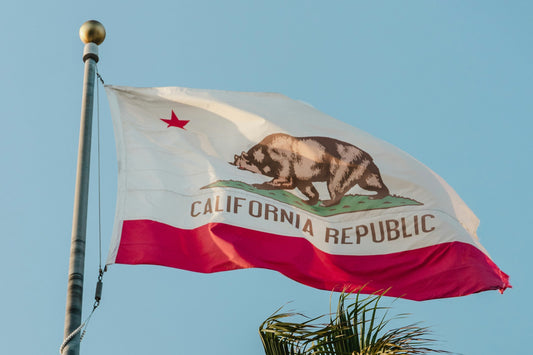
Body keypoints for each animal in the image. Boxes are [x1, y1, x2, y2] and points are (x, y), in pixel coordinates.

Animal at [229, 134, 386, 207]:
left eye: (243, 158)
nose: (234, 159)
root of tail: (367, 157)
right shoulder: (300, 172)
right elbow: (304, 185)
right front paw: (310, 200)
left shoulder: (283, 159)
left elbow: (284, 178)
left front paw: (261, 184)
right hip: (365, 170)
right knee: (371, 183)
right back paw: (378, 194)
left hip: (345, 164)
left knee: (336, 183)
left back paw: (328, 202)